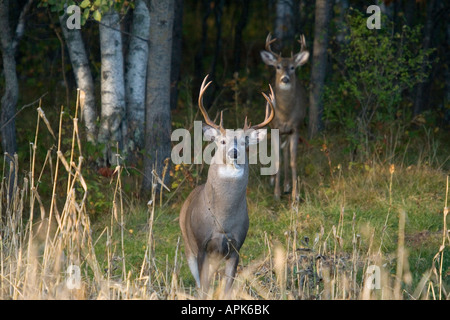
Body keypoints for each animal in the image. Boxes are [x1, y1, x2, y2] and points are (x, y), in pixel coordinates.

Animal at [179, 75, 274, 298]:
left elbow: (227, 289)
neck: (222, 219)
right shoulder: (201, 245)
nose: (234, 152)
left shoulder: (236, 246)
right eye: (222, 140)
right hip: (187, 245)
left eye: (245, 141)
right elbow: (204, 288)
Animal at [260, 33, 310, 201]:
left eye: (293, 67)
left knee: (286, 152)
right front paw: (276, 193)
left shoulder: (295, 128)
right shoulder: (276, 128)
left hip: (288, 132)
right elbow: (277, 160)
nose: (285, 79)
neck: (285, 113)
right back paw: (273, 180)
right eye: (278, 67)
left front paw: (296, 194)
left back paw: (287, 185)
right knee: (277, 152)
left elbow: (293, 160)